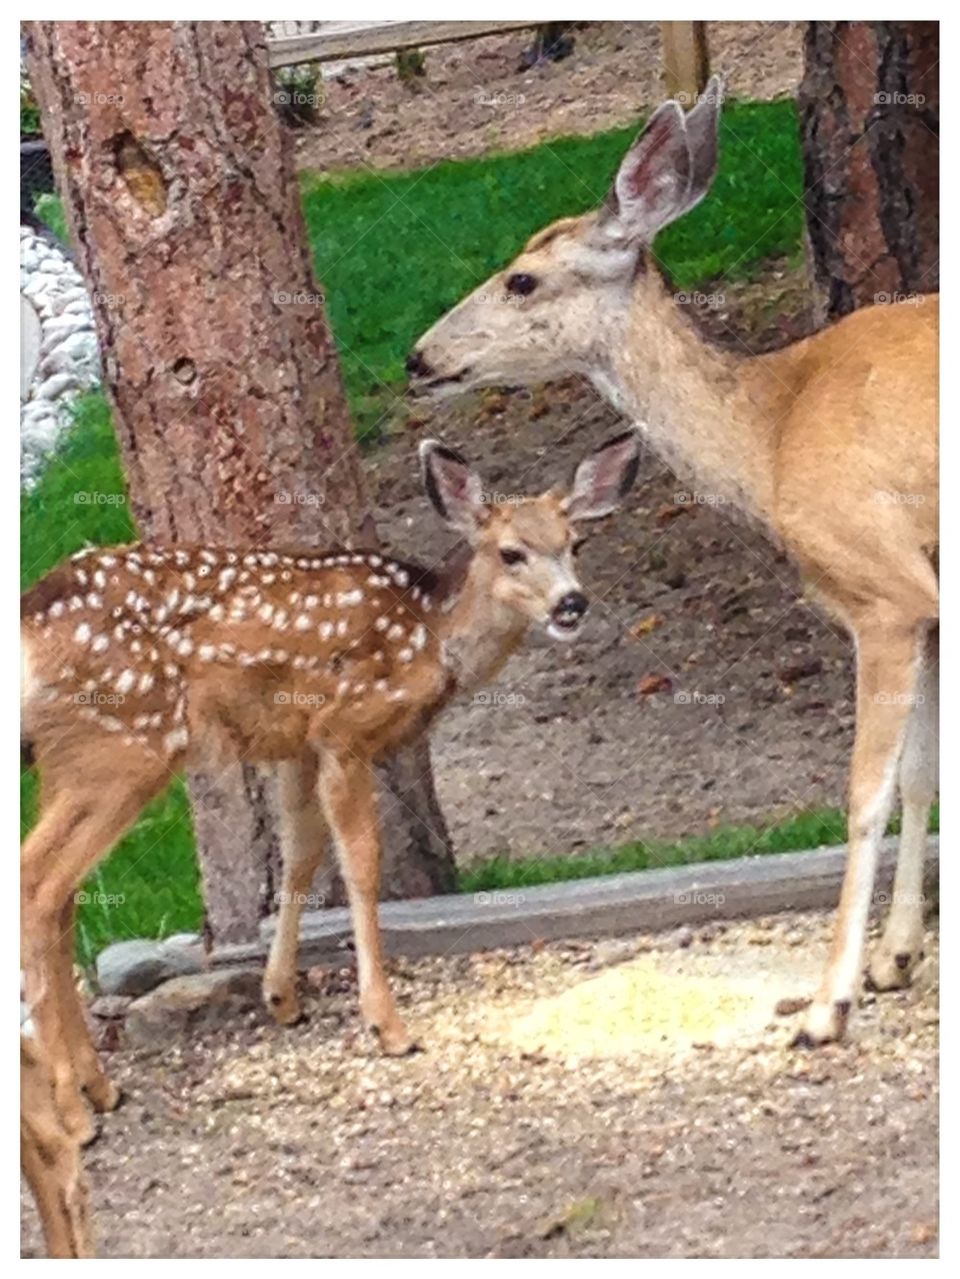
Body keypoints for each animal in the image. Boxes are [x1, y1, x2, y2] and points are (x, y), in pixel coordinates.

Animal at [20, 430, 640, 1143]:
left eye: (576, 544)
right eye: (511, 551)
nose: (572, 604)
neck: (430, 631)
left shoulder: (298, 743)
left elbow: (301, 855)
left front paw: (281, 997)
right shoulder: (346, 729)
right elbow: (360, 865)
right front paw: (387, 1024)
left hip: (73, 758)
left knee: (61, 894)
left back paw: (99, 1087)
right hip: (124, 745)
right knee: (38, 881)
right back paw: (73, 1112)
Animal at [407, 78, 939, 1047]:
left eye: (522, 277)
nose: (418, 356)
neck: (770, 434)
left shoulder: (883, 587)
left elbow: (864, 792)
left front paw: (828, 1004)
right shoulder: (925, 593)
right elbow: (922, 775)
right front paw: (896, 959)